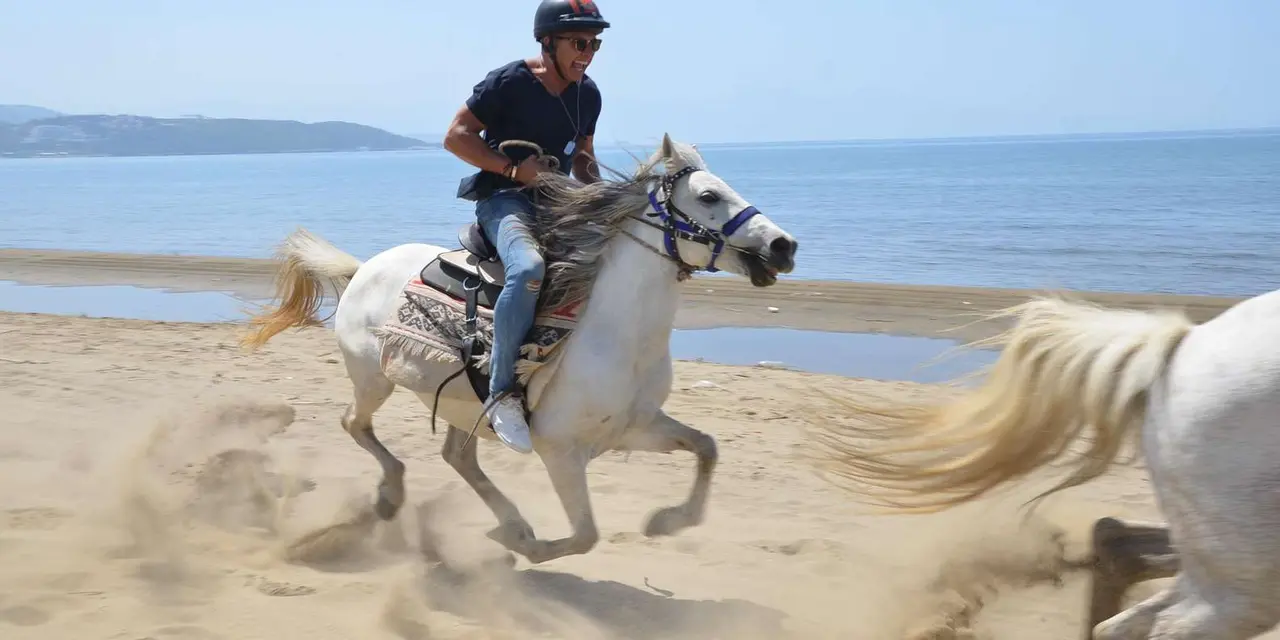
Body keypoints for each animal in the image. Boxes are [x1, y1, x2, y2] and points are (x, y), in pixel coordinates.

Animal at [240, 134, 799, 565]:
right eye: (708, 195)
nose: (784, 246)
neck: (617, 336)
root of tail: (362, 270)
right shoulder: (560, 450)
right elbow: (585, 535)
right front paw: (529, 548)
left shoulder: (635, 427)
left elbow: (706, 447)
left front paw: (666, 521)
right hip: (373, 379)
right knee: (355, 425)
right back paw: (394, 498)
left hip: (462, 406)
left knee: (457, 458)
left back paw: (508, 523)